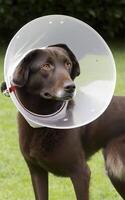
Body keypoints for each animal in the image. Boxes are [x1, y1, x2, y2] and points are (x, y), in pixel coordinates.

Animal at [1, 44, 125, 200]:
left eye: (68, 64)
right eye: (46, 66)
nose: (71, 87)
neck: (44, 122)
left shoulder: (81, 172)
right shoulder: (36, 171)